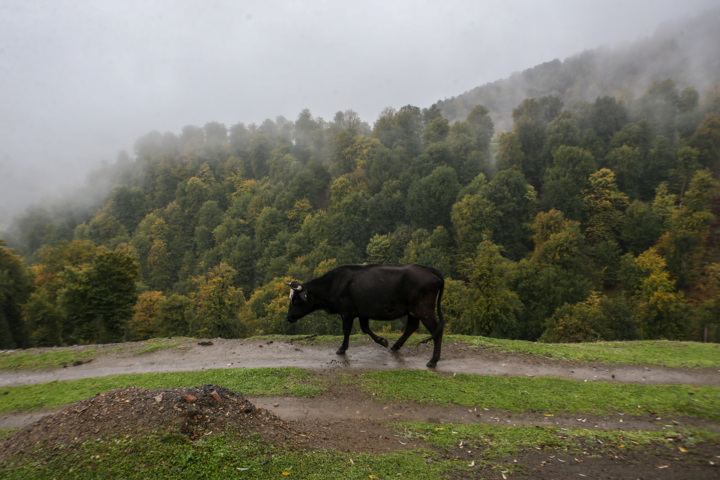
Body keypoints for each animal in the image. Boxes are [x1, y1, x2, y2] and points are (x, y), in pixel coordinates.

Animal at [282, 262, 444, 368]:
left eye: (296, 299)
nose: (288, 318)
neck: (334, 284)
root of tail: (428, 269)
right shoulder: (362, 311)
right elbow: (365, 329)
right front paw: (382, 341)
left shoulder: (347, 312)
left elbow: (346, 331)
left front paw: (342, 349)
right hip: (413, 311)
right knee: (412, 326)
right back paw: (395, 346)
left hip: (424, 310)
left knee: (436, 330)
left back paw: (433, 361)